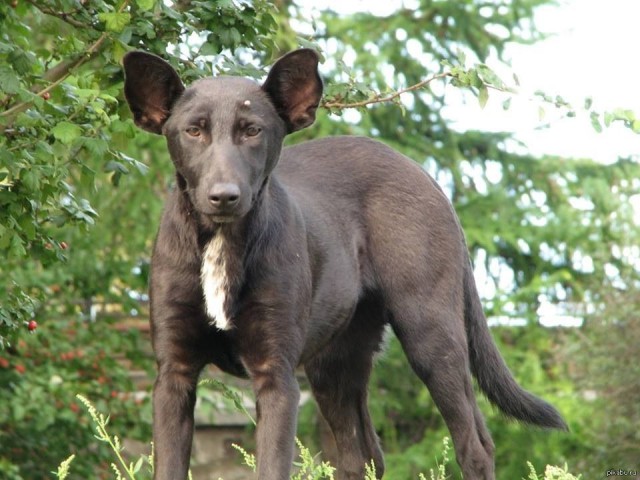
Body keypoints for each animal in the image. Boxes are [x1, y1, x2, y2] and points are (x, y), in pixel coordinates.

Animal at [122, 49, 568, 480]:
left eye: (252, 130)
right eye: (193, 131)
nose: (224, 196)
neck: (222, 241)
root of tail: (424, 175)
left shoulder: (277, 376)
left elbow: (271, 466)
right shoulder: (174, 375)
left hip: (432, 336)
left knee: (475, 446)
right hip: (334, 363)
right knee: (363, 457)